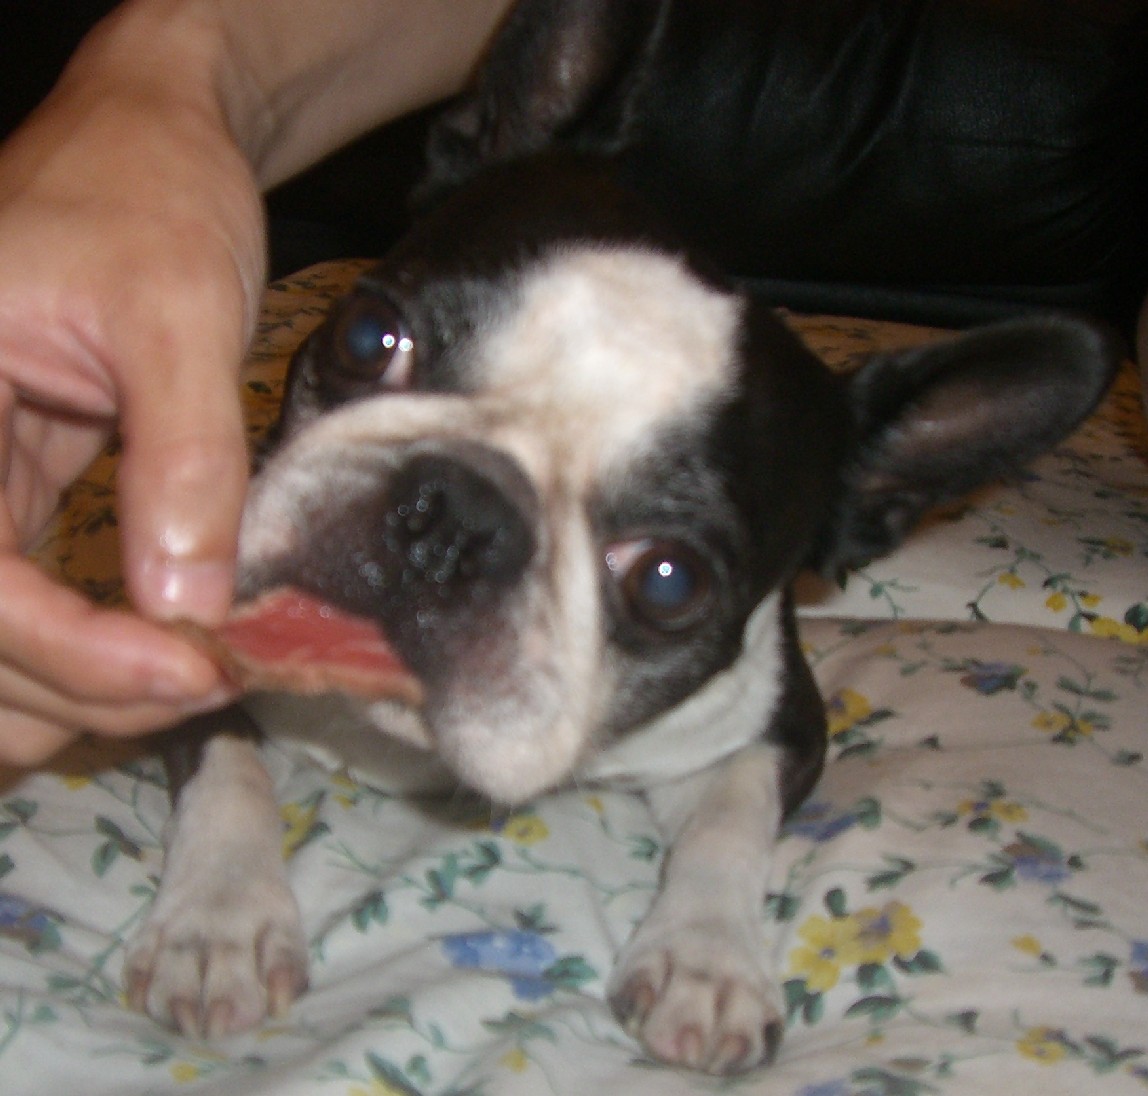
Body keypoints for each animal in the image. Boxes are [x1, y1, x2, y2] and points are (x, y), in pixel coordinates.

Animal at [122, 0, 1119, 1075]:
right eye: (367, 337)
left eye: (670, 581)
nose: (451, 517)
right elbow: (228, 766)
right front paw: (219, 923)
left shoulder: (778, 725)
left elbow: (731, 822)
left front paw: (707, 962)